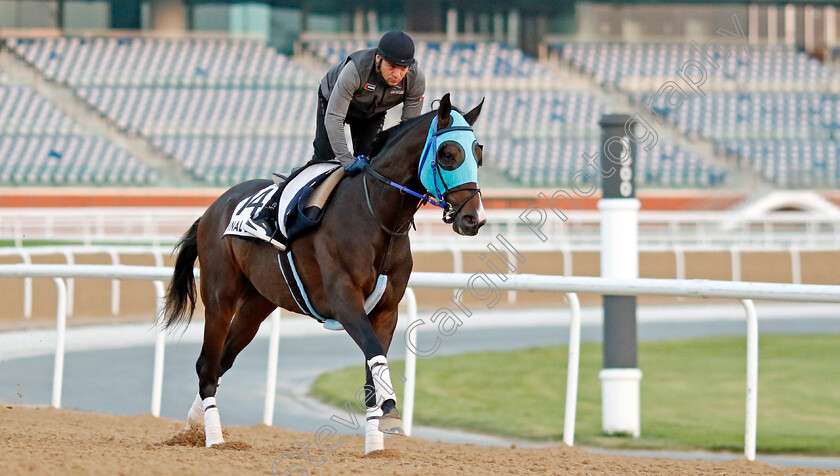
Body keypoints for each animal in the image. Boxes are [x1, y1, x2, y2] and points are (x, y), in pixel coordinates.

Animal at [160, 94, 486, 454]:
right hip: (221, 297)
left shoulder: (387, 310)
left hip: (258, 305)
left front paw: (376, 444)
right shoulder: (345, 301)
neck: (376, 215)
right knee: (207, 364)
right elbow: (373, 352)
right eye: (448, 154)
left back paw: (194, 423)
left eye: (479, 153)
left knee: (221, 362)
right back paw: (214, 438)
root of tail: (212, 208)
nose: (474, 219)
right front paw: (391, 413)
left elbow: (373, 369)